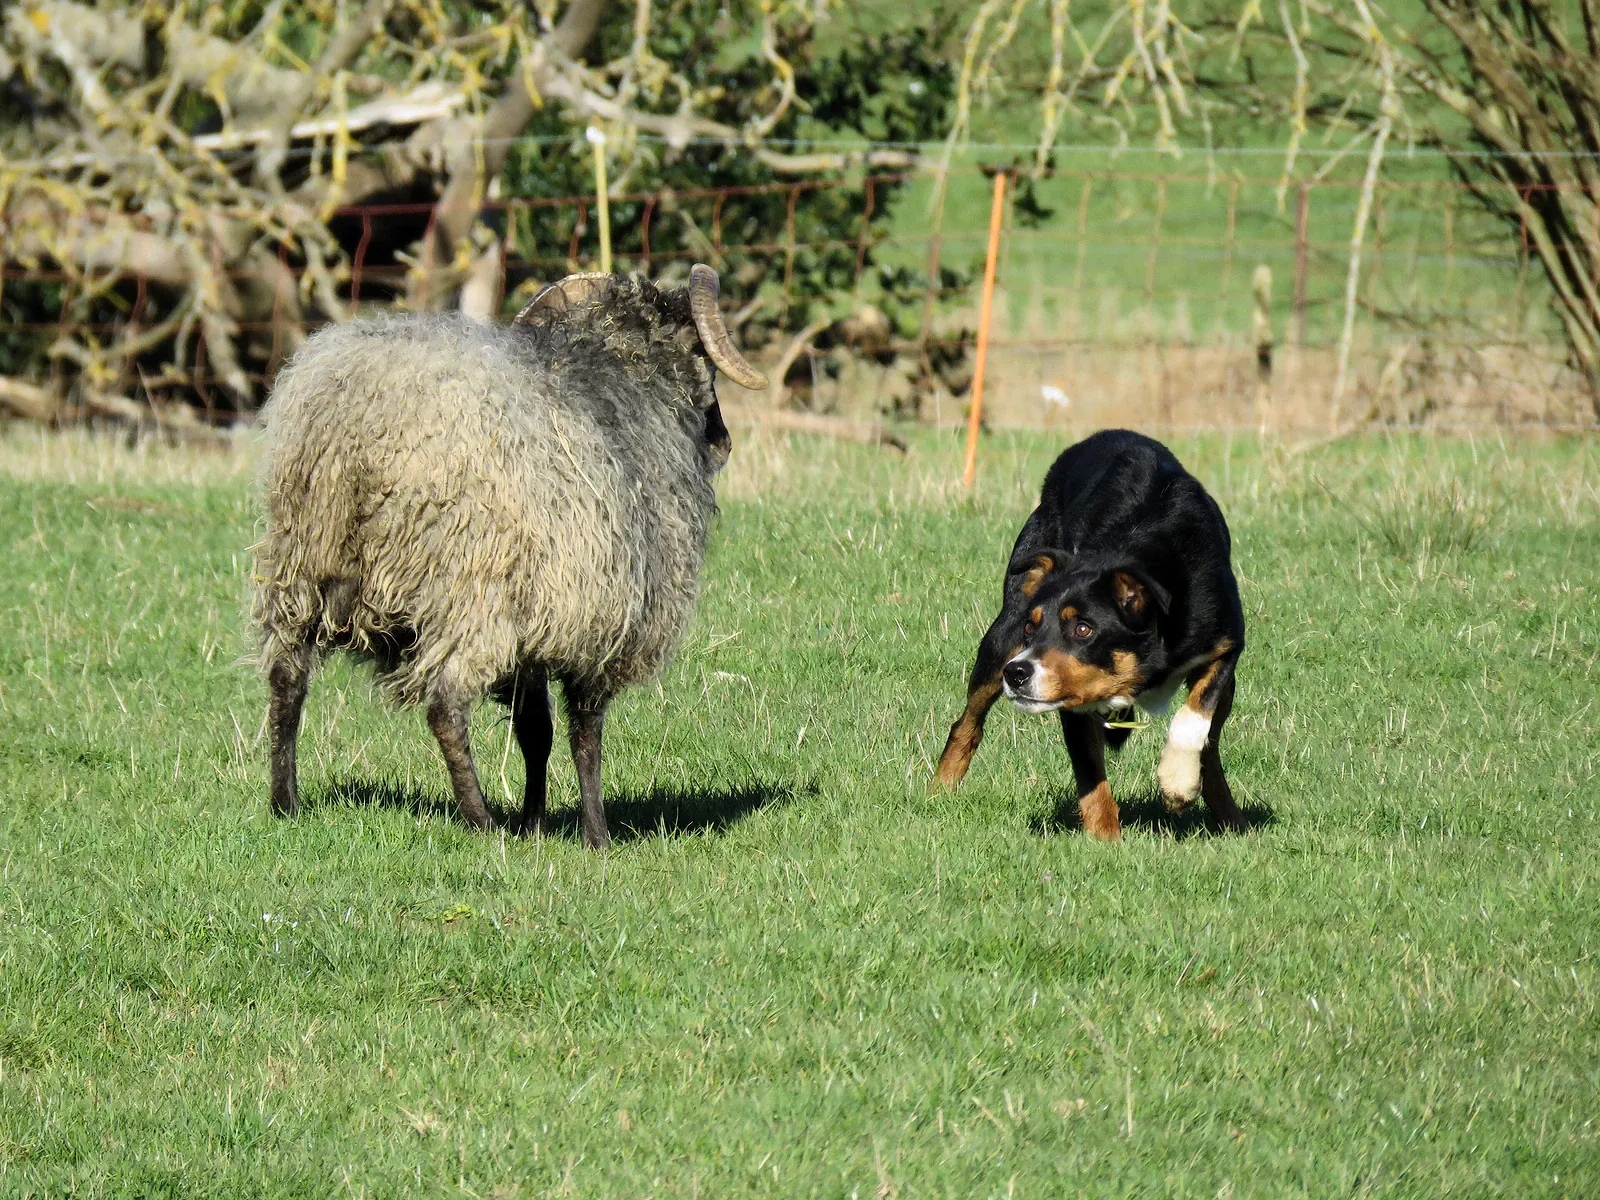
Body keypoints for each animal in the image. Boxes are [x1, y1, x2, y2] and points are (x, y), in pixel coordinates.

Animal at [250, 264, 768, 848]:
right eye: (703, 360)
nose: (724, 443)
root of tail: (360, 424)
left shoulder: (535, 627)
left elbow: (534, 731)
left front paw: (534, 824)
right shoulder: (597, 615)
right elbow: (585, 733)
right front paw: (595, 836)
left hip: (304, 562)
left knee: (287, 678)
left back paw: (285, 803)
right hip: (466, 590)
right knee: (445, 706)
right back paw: (481, 823)